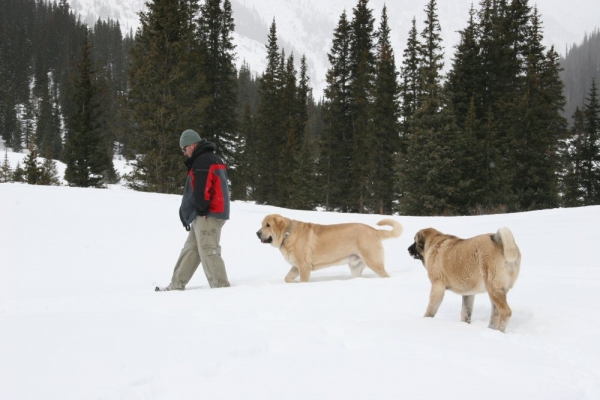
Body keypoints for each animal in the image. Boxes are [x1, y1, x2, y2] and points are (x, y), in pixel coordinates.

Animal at [255, 214, 400, 282]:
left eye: (268, 225)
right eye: (262, 224)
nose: (257, 233)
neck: (287, 234)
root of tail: (374, 230)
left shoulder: (304, 266)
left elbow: (303, 281)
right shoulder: (296, 266)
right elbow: (287, 278)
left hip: (373, 262)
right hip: (355, 267)